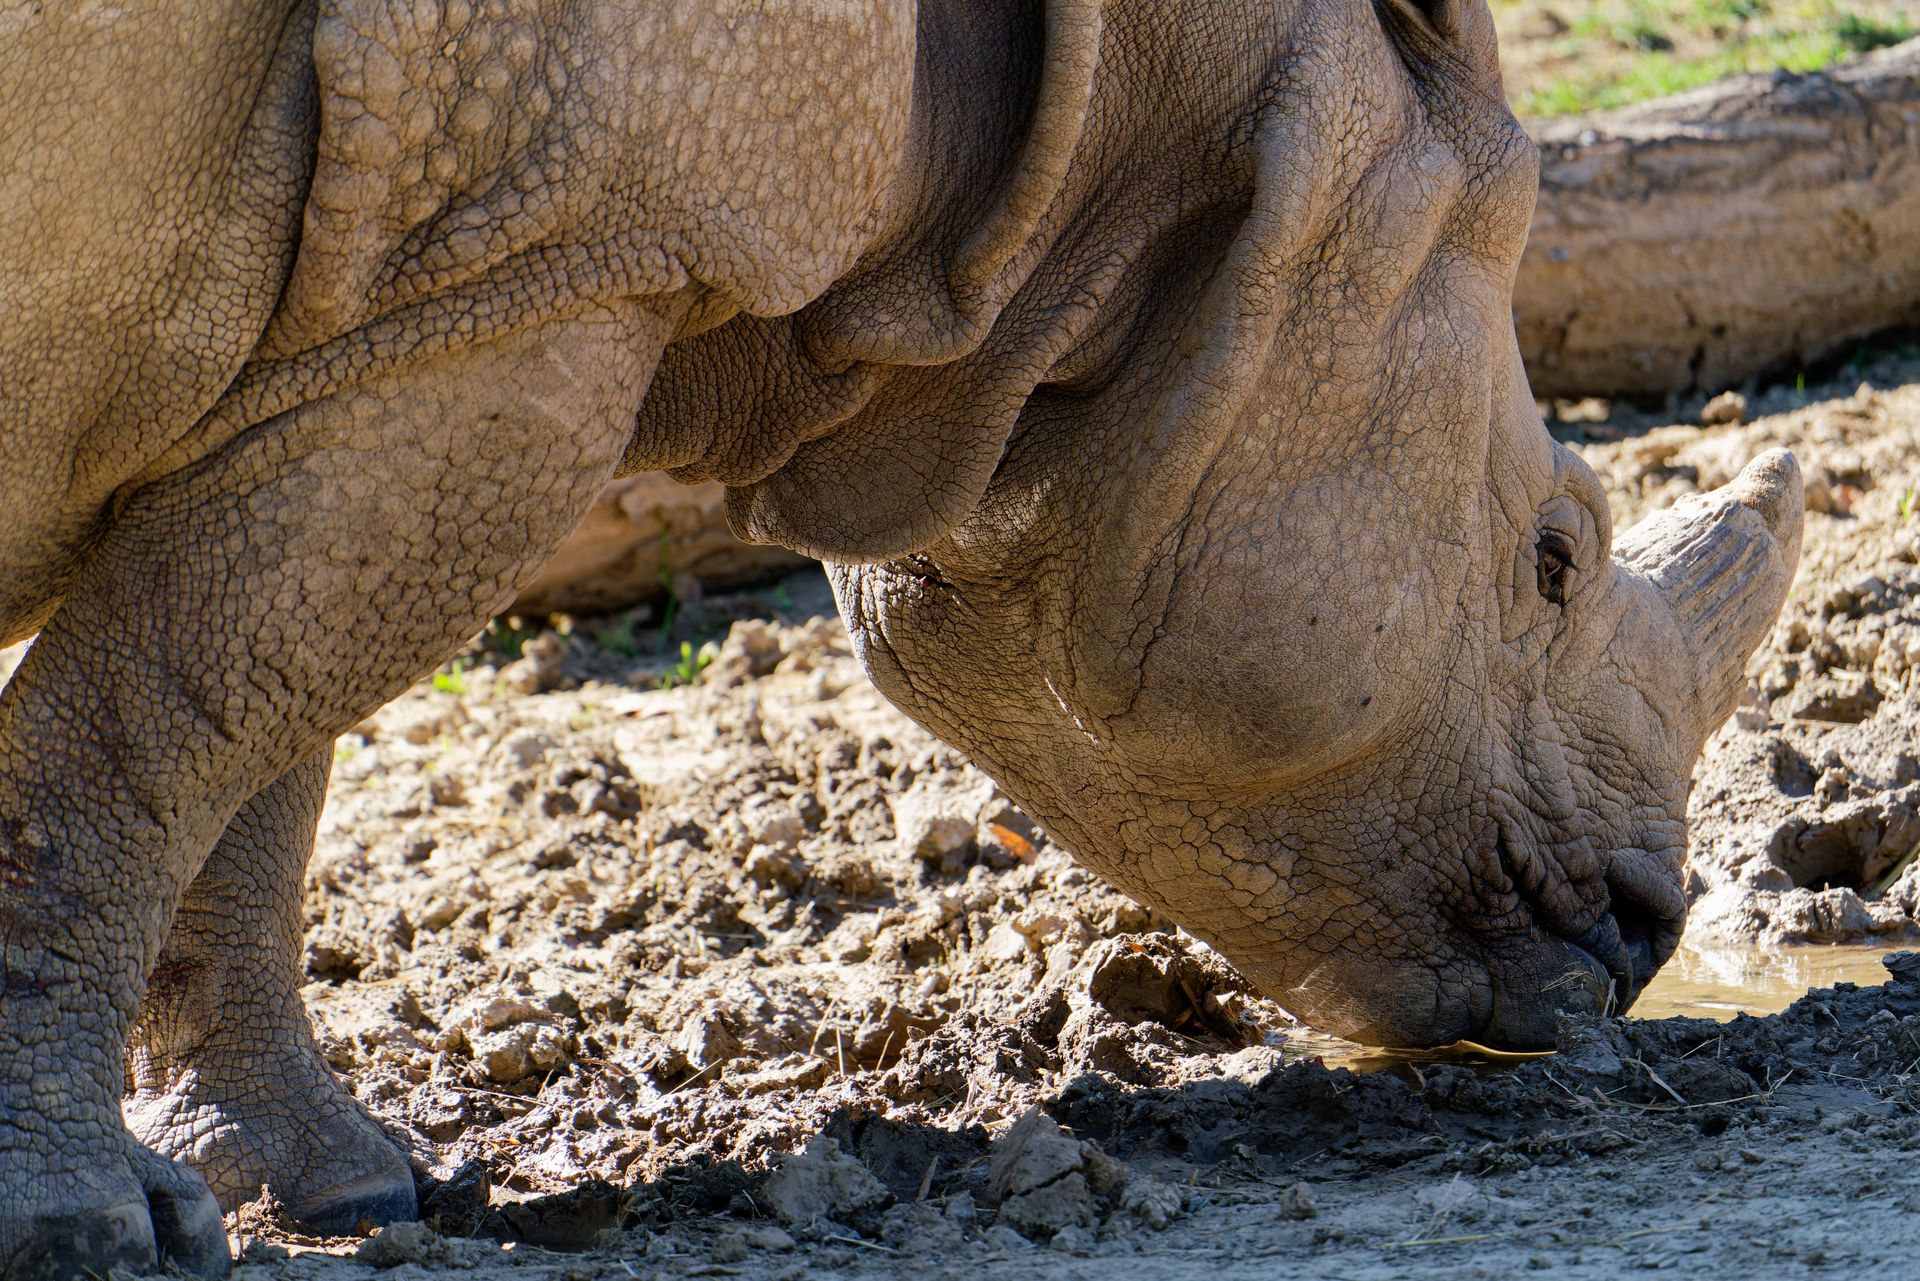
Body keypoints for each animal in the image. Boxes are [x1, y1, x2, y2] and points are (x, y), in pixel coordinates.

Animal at [0, 0, 1800, 1274]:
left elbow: (245, 750)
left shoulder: (426, 306)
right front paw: (88, 1232)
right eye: (1556, 558)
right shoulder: (552, 268)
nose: (1645, 936)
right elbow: (146, 742)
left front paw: (337, 1188)